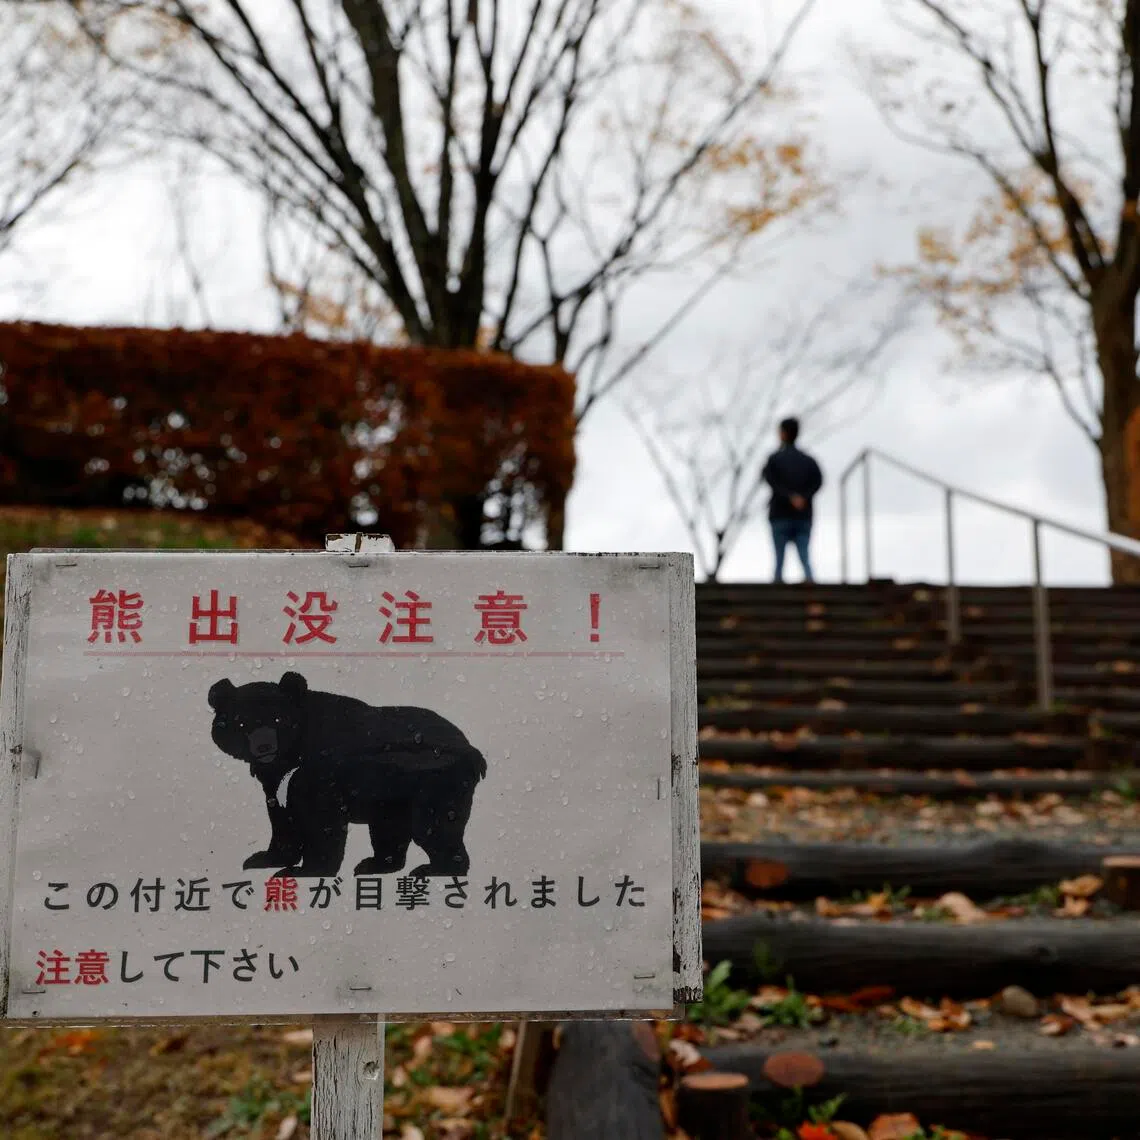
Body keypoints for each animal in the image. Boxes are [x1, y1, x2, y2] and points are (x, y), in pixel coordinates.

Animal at [207, 670, 487, 879]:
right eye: (241, 723)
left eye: (278, 719)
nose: (264, 747)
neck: (293, 754)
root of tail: (473, 750)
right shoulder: (276, 780)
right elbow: (282, 815)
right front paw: (263, 859)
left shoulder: (324, 770)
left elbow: (322, 820)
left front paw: (303, 871)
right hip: (393, 793)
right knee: (390, 826)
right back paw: (375, 864)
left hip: (436, 781)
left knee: (433, 825)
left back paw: (435, 870)